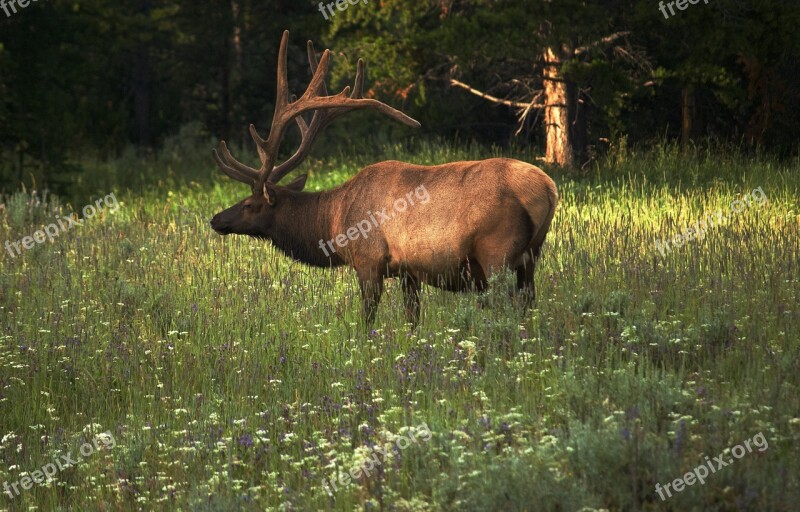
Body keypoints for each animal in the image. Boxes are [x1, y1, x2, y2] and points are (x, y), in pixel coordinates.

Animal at [209, 32, 560, 326]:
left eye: (249, 203)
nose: (215, 219)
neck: (333, 221)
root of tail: (548, 189)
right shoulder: (408, 272)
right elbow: (412, 319)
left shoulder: (368, 260)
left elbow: (367, 319)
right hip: (531, 256)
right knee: (529, 305)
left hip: (497, 252)